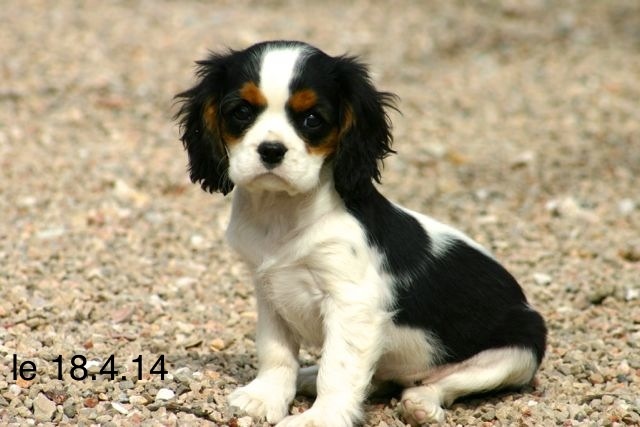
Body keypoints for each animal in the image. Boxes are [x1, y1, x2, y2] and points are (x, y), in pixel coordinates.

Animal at [175, 41, 544, 427]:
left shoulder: (352, 303)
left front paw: (320, 419)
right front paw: (265, 397)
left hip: (517, 353)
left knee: (444, 384)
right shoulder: (269, 290)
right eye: (242, 112)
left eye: (312, 120)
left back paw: (421, 403)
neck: (282, 211)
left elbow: (338, 369)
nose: (271, 150)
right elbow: (276, 351)